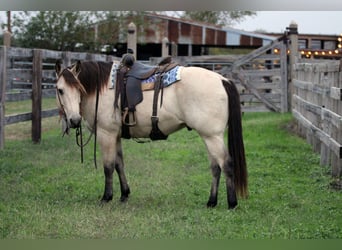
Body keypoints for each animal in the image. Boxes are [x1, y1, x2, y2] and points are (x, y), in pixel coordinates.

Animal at [54, 59, 247, 209]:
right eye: (60, 90)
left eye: (79, 89)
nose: (74, 120)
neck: (102, 89)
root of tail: (223, 80)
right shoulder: (115, 135)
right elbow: (119, 164)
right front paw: (124, 194)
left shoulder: (106, 134)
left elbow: (108, 167)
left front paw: (106, 197)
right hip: (209, 137)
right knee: (215, 167)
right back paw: (211, 202)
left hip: (212, 137)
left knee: (226, 164)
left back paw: (232, 203)